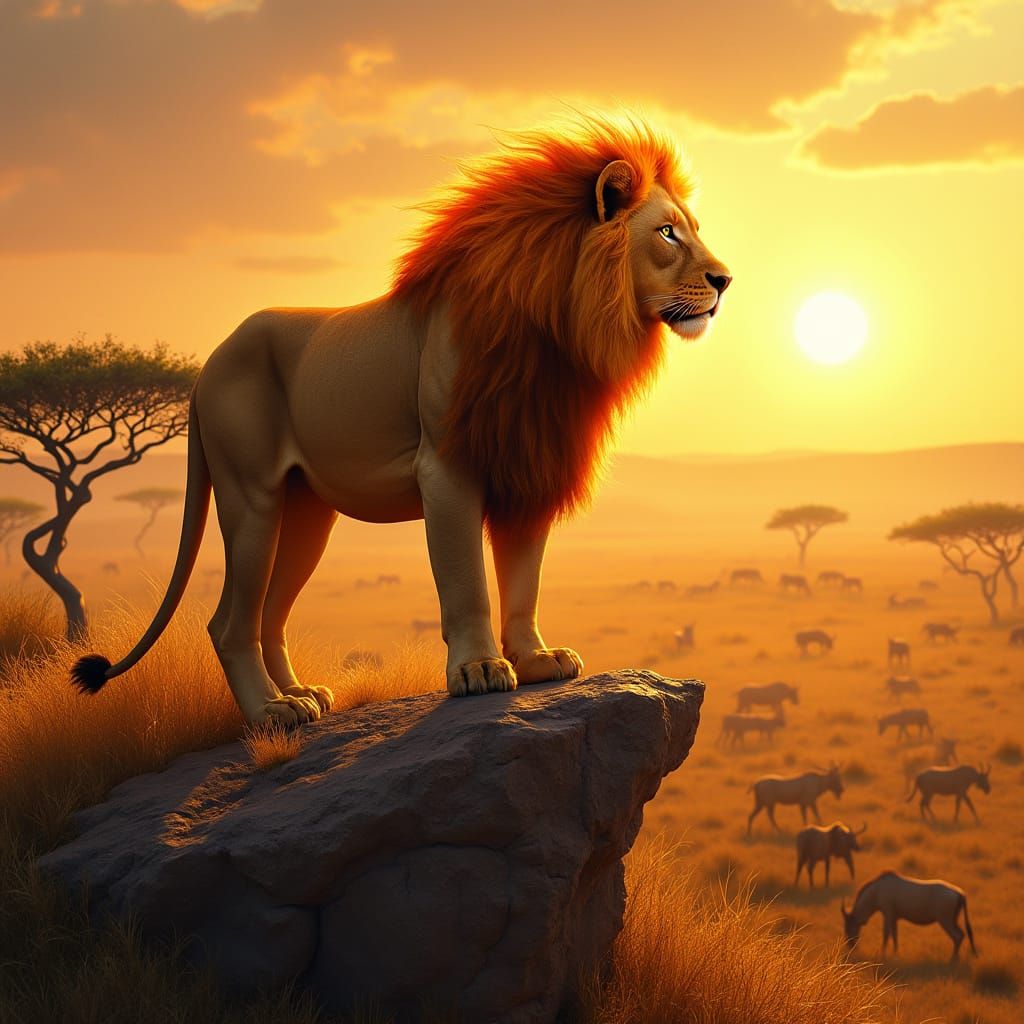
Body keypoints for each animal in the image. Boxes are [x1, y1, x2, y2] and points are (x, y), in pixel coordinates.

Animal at [71, 113, 731, 725]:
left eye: (693, 230)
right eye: (667, 233)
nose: (725, 280)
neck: (559, 333)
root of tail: (209, 362)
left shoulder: (528, 461)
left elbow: (525, 581)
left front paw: (537, 660)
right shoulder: (447, 468)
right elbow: (466, 582)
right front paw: (480, 669)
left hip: (305, 513)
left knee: (270, 614)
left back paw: (302, 696)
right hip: (250, 494)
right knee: (230, 621)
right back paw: (271, 712)